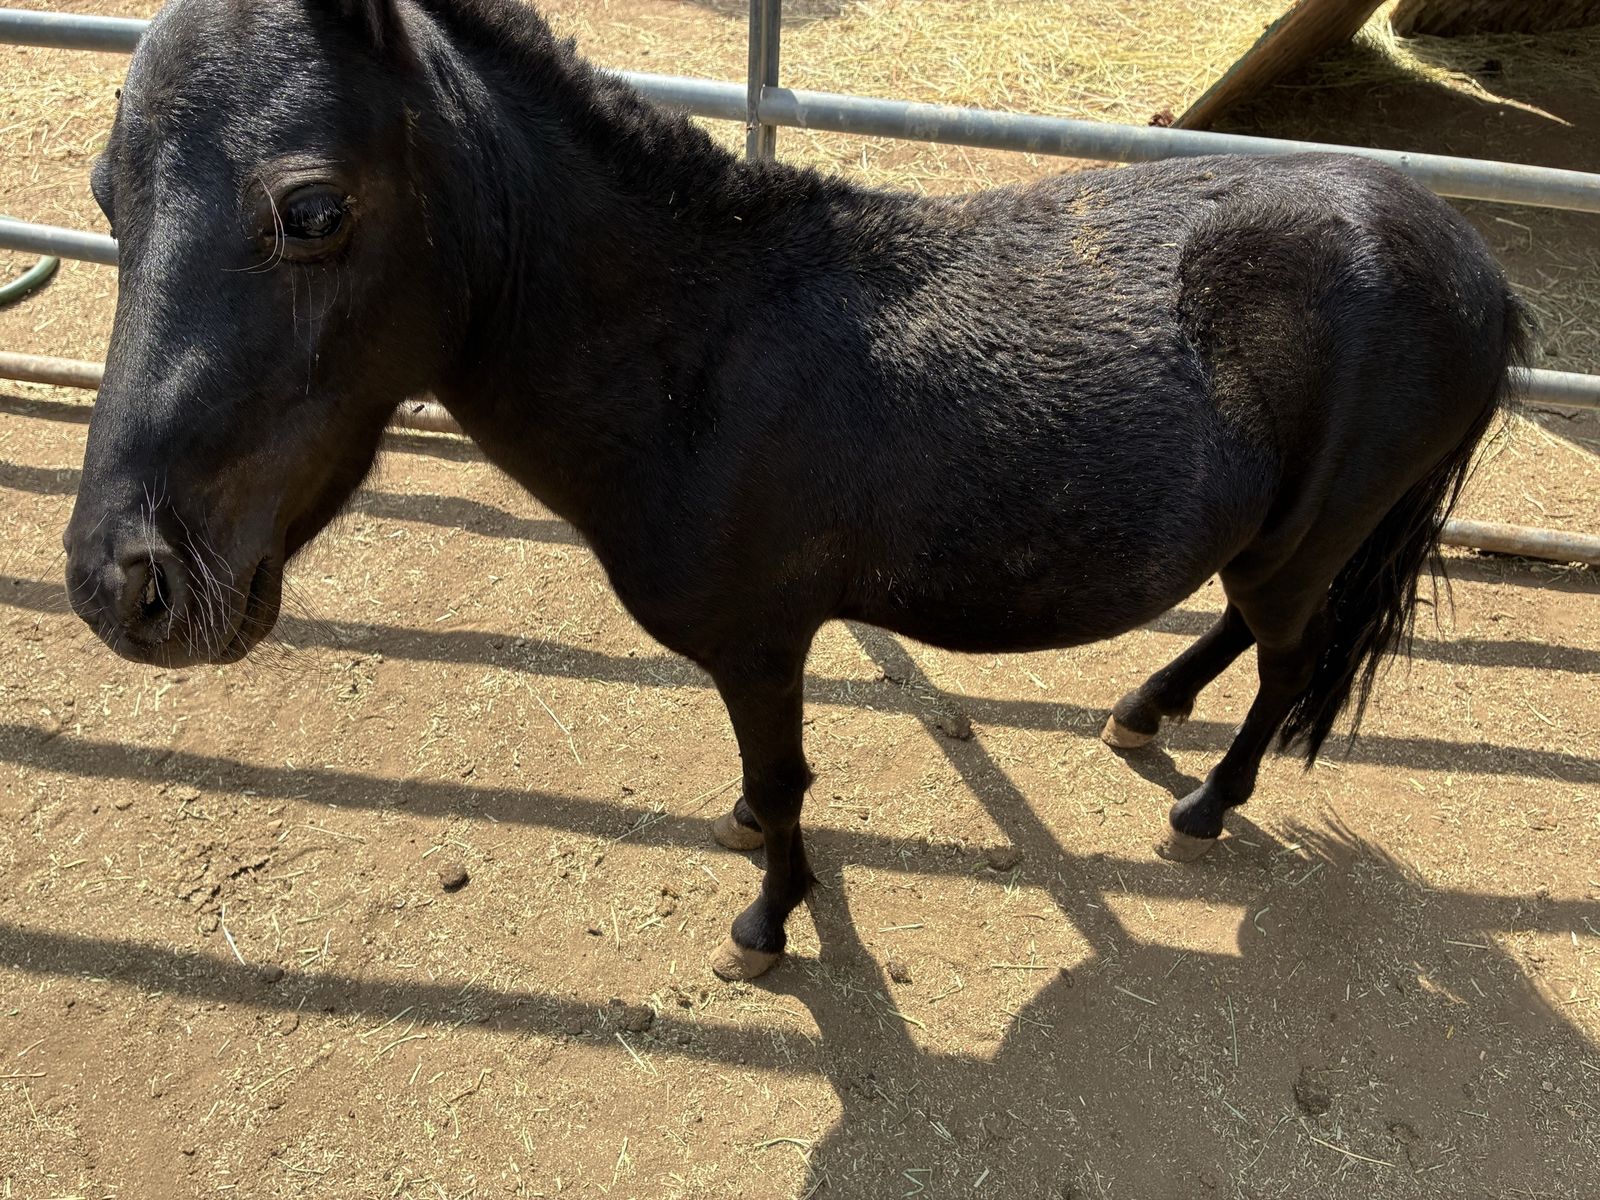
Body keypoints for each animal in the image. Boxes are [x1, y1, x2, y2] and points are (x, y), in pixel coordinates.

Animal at [64, 0, 1527, 981]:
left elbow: (781, 786)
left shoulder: (762, 644)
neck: (700, 357)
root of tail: (1468, 264)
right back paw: (1141, 711)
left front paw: (766, 925)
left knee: (1283, 665)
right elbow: (760, 790)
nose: (123, 585)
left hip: (1310, 541)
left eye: (310, 209)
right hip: (1271, 536)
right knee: (1235, 630)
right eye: (103, 190)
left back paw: (1203, 805)